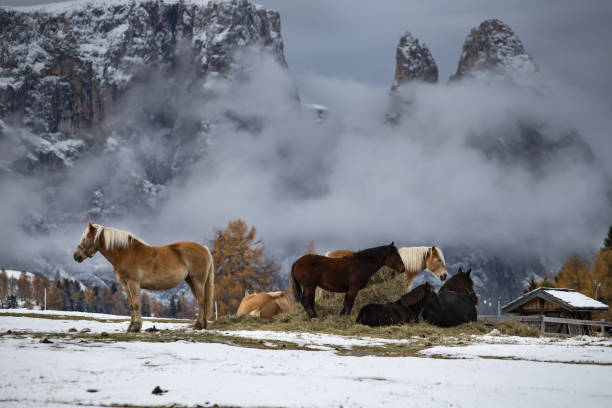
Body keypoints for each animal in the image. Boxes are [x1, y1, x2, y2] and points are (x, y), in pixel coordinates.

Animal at [74, 223, 214, 332]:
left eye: (86, 237)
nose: (76, 256)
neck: (126, 253)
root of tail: (204, 248)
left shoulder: (134, 283)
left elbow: (136, 304)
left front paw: (136, 327)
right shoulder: (125, 285)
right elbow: (131, 305)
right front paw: (131, 327)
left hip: (198, 280)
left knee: (202, 300)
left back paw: (198, 325)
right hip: (190, 280)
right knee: (201, 301)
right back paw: (202, 325)